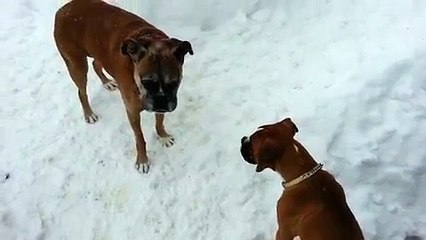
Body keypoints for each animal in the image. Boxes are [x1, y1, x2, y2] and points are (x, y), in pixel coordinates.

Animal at [53, 0, 193, 172]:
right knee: (82, 92)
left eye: (174, 82)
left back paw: (107, 82)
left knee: (96, 64)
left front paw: (163, 136)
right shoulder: (132, 111)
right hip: (76, 64)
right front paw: (142, 160)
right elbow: (139, 137)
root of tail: (64, 8)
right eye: (146, 82)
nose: (161, 101)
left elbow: (159, 121)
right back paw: (89, 113)